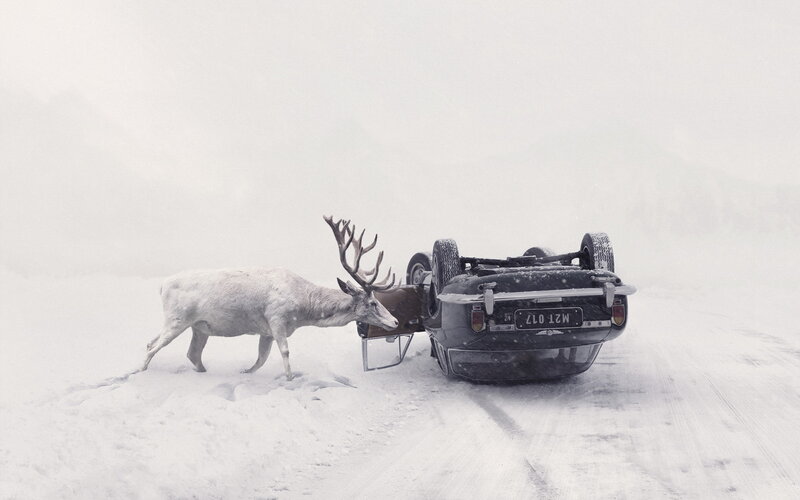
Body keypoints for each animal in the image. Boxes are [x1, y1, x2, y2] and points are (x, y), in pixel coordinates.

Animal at [139, 216, 399, 380]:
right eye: (373, 303)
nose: (395, 321)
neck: (303, 310)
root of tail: (161, 286)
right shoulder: (276, 317)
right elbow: (284, 352)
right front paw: (290, 378)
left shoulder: (265, 331)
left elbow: (260, 359)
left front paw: (244, 372)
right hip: (178, 319)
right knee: (152, 346)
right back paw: (140, 371)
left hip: (198, 326)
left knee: (189, 353)